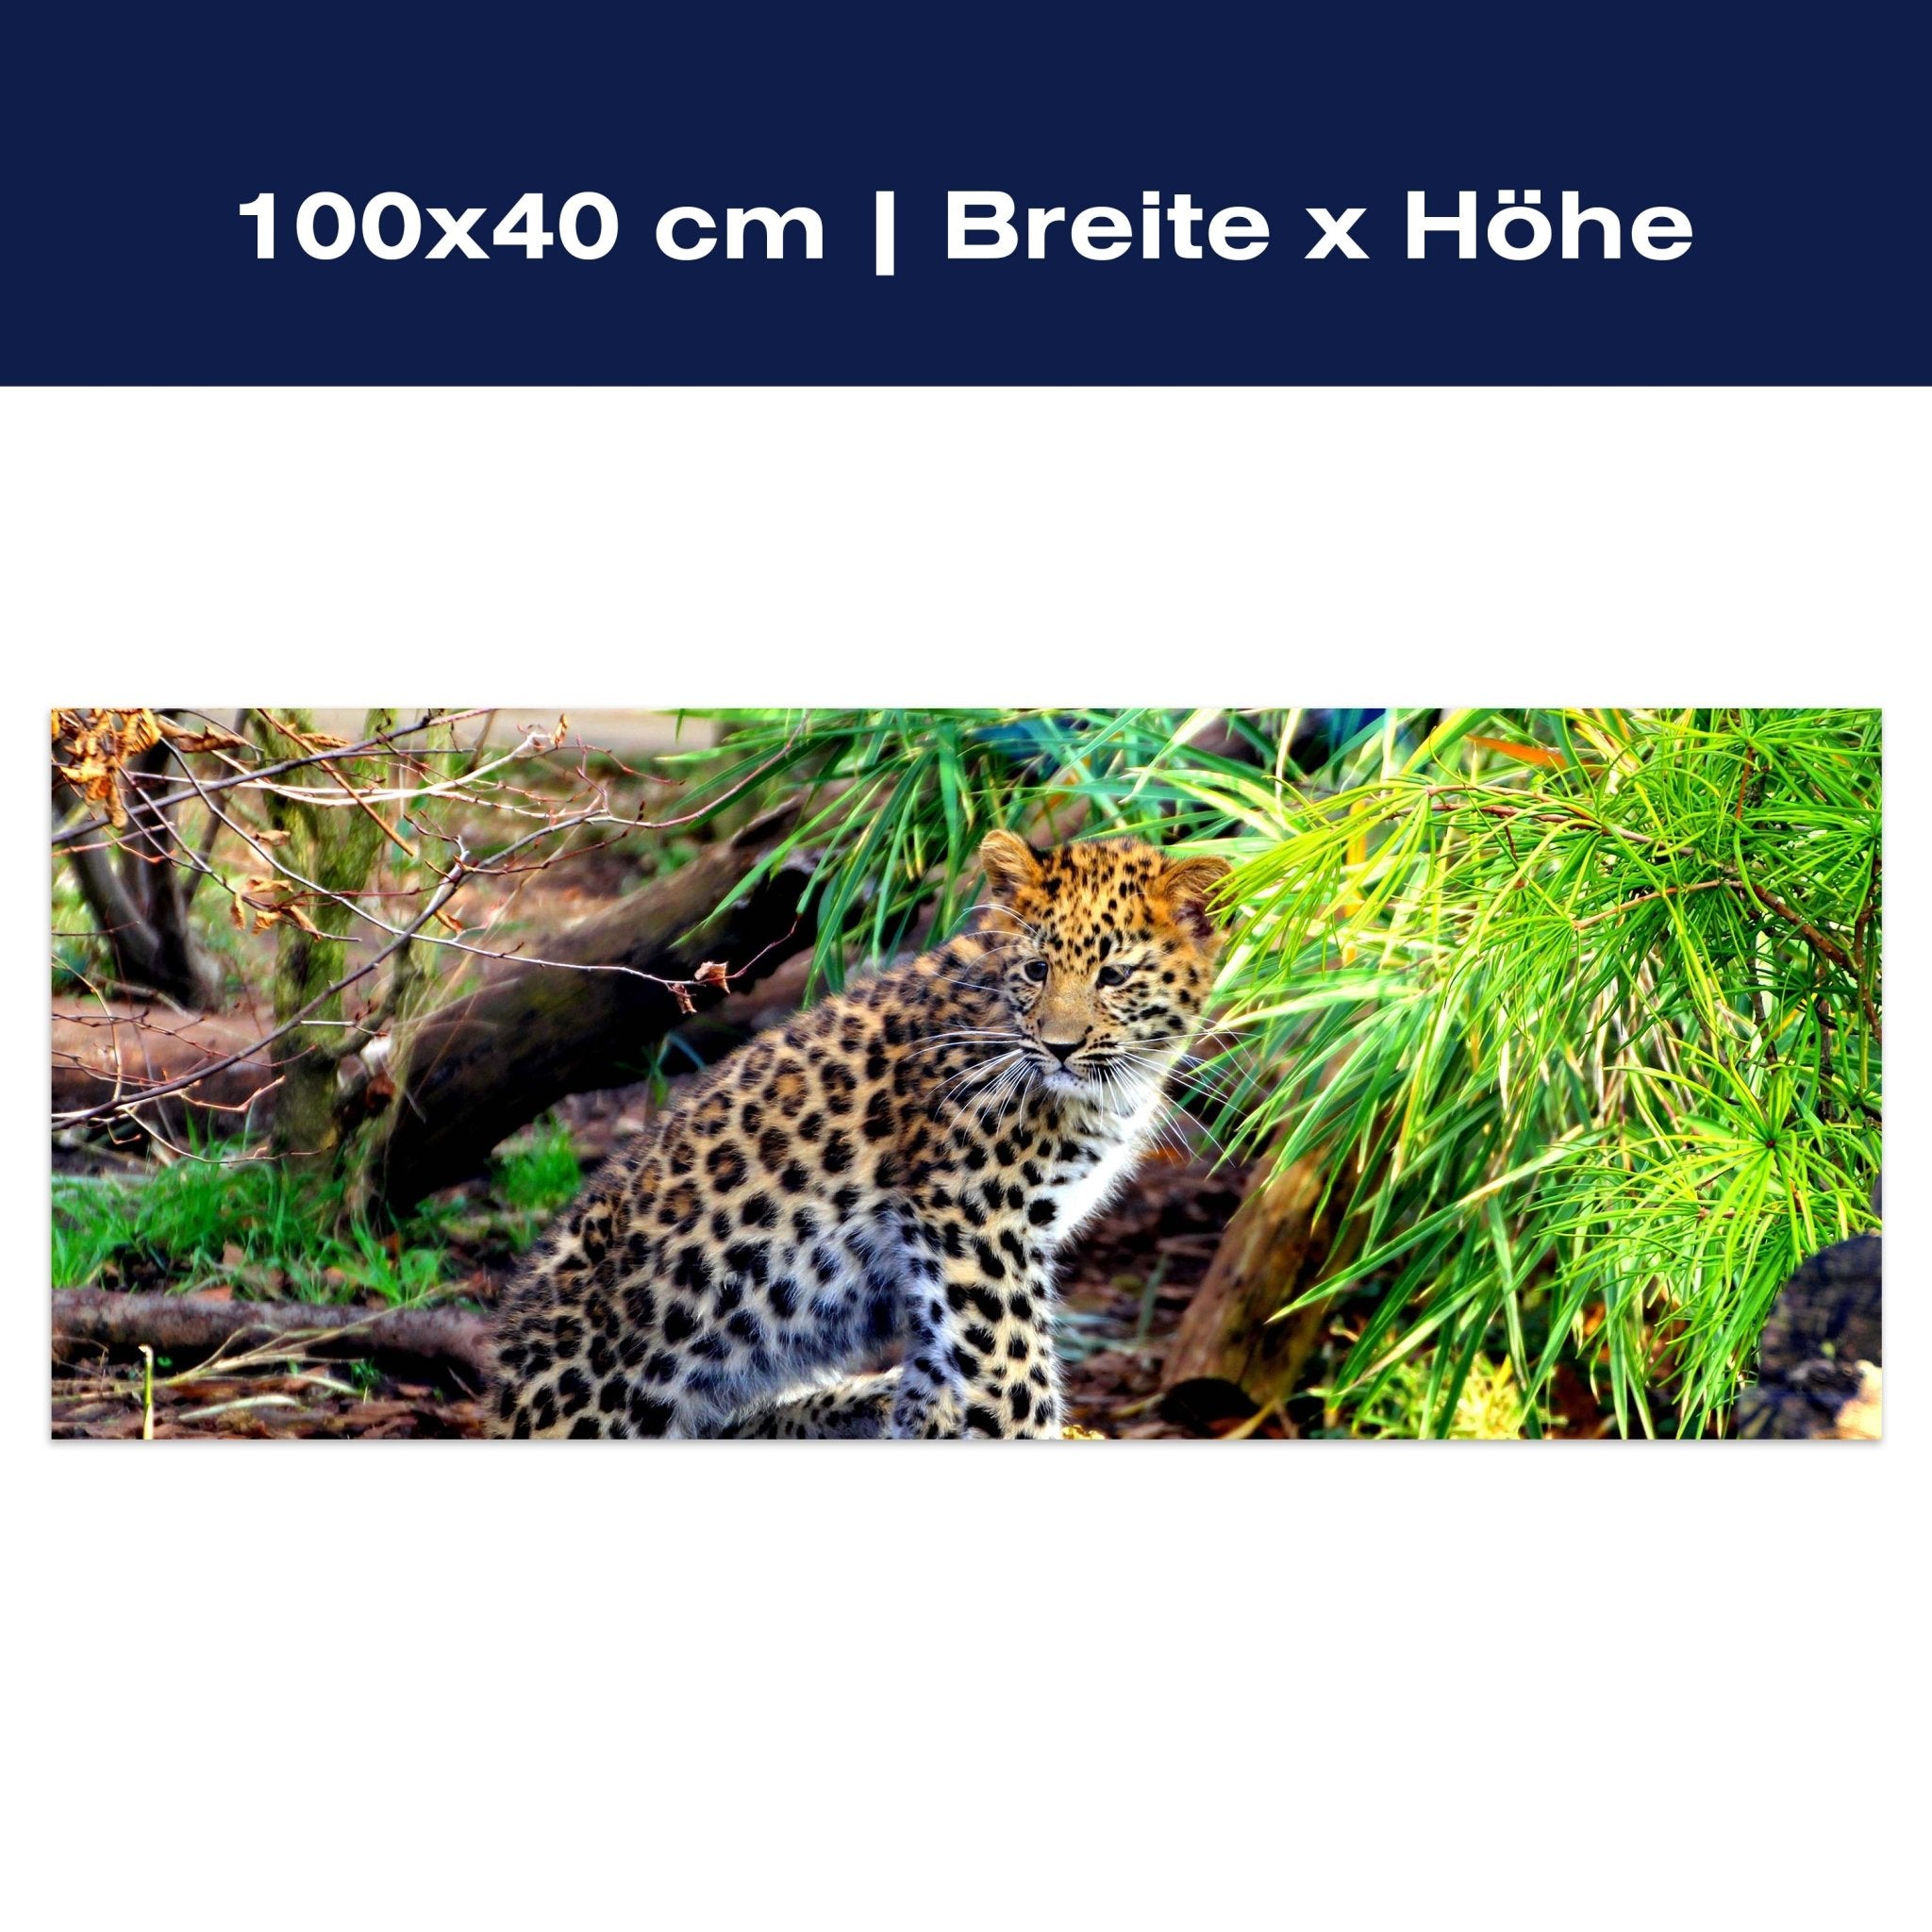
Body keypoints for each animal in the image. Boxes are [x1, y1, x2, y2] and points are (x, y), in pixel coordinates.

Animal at [488, 829, 1231, 1439]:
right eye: (1037, 968)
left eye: (1115, 975)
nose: (1059, 1047)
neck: (1113, 1089)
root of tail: (501, 1393)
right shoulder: (976, 1223)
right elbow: (1013, 1372)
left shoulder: (950, 1253)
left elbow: (947, 1367)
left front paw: (930, 1419)